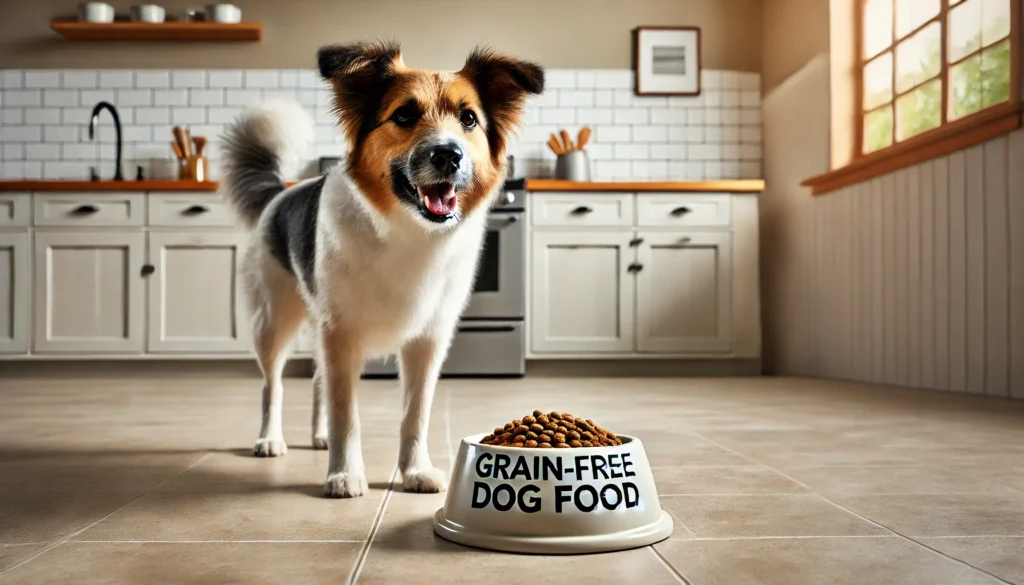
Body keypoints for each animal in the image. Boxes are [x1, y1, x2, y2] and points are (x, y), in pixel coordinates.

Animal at [217, 42, 544, 499]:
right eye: (404, 115)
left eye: (469, 119)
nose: (449, 155)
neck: (407, 231)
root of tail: (281, 194)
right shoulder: (341, 335)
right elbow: (346, 414)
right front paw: (343, 475)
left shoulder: (427, 342)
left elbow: (415, 414)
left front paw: (414, 471)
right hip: (273, 322)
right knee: (273, 386)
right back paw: (270, 440)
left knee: (316, 381)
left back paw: (318, 437)